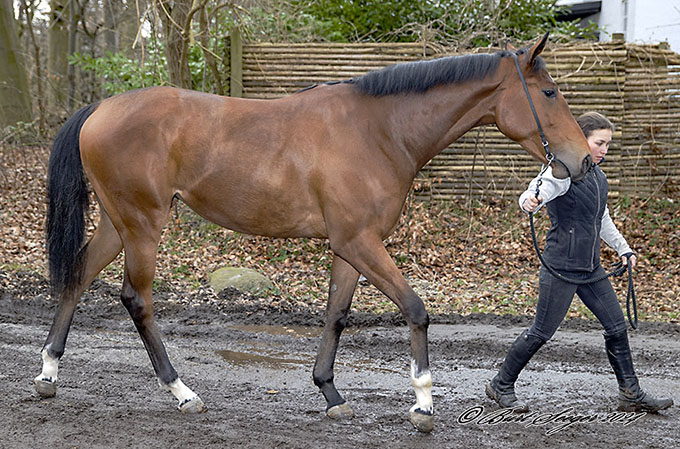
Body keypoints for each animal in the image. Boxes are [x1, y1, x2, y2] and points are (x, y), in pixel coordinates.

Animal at [35, 33, 588, 432]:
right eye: (549, 93)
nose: (583, 160)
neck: (379, 130)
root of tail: (99, 109)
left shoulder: (349, 248)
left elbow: (336, 317)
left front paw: (331, 394)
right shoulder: (360, 242)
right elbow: (415, 309)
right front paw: (424, 404)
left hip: (119, 224)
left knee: (78, 276)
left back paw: (48, 372)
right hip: (144, 225)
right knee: (137, 300)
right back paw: (182, 392)